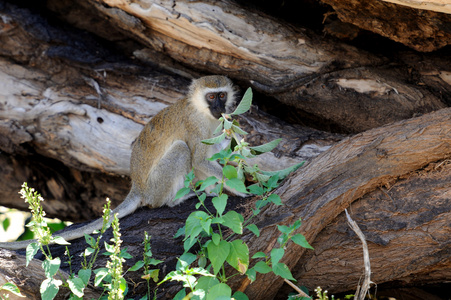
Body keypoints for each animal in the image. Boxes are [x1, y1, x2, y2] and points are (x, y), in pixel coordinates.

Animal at [0, 75, 244, 251]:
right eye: (211, 97)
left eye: (222, 95)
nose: (219, 108)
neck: (202, 112)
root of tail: (138, 188)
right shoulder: (195, 125)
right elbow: (200, 160)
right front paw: (243, 188)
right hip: (156, 187)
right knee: (181, 152)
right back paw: (176, 199)